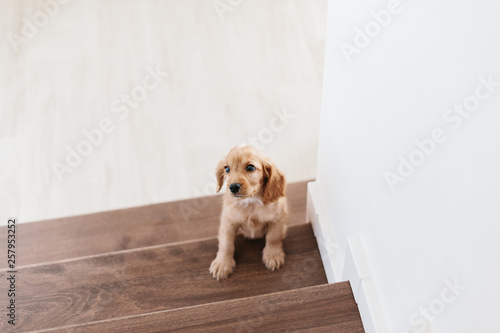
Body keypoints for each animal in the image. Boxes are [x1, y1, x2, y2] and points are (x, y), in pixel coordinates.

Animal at [209, 144, 288, 278]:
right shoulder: (228, 222)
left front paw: (273, 255)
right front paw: (222, 263)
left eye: (250, 167)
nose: (233, 187)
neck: (251, 203)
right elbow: (226, 244)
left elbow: (273, 238)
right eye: (227, 168)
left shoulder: (277, 219)